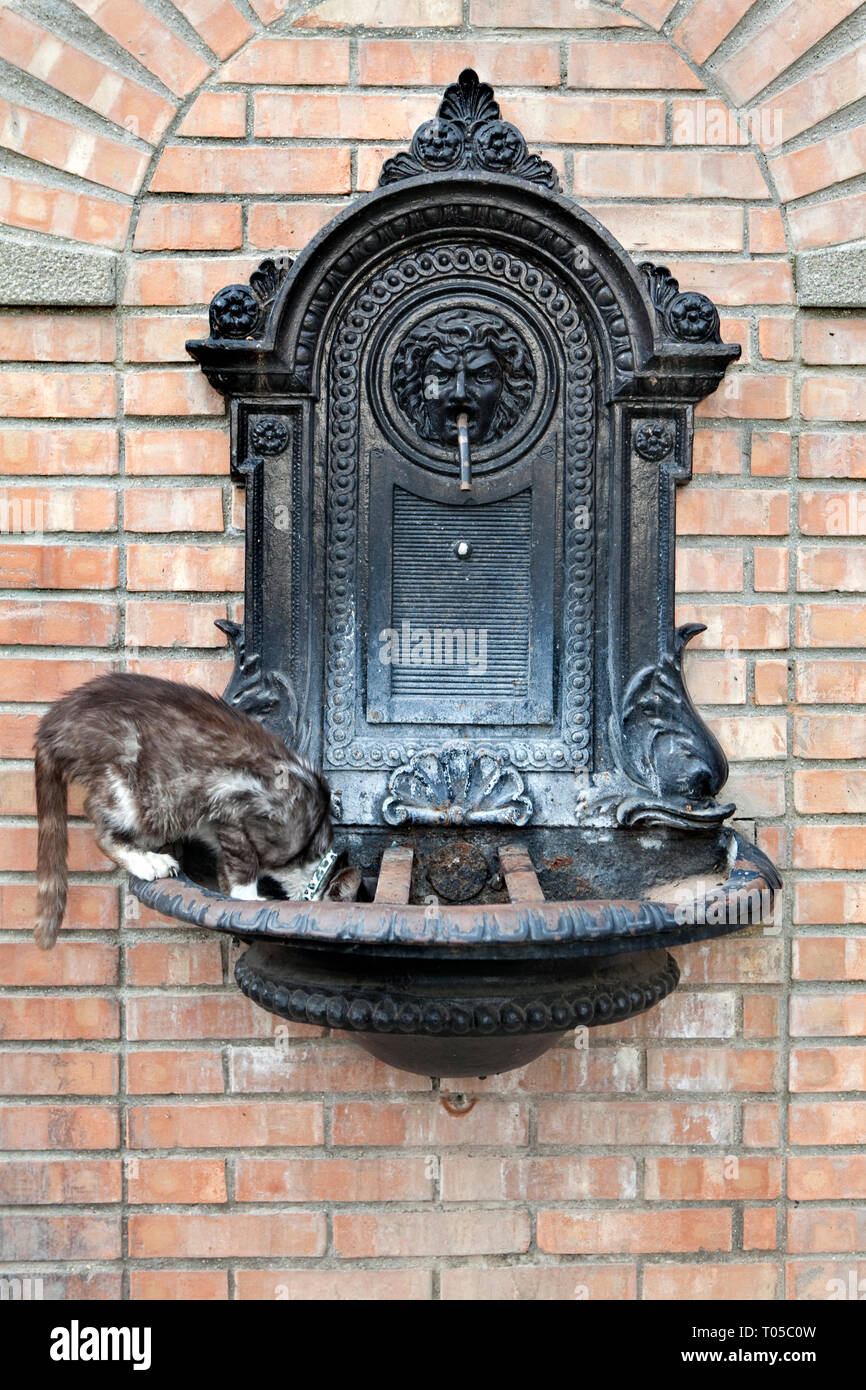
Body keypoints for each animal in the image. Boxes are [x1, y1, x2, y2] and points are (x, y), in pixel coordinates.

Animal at [34, 669, 332, 945]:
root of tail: (52, 725)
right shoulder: (238, 805)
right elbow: (244, 865)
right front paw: (249, 898)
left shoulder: (219, 824)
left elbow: (225, 863)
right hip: (133, 790)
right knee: (102, 828)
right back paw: (148, 861)